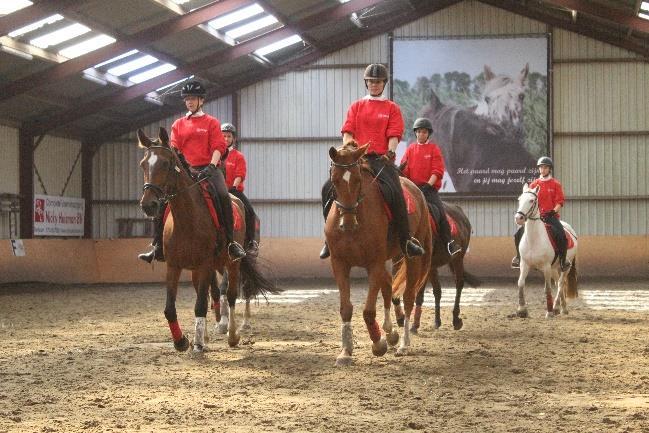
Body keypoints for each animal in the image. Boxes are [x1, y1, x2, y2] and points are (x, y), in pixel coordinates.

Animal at [137, 126, 278, 352]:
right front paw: (182, 341)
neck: (186, 220)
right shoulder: (174, 266)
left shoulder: (206, 265)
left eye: (166, 164)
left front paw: (199, 344)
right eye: (143, 164)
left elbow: (203, 304)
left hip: (233, 262)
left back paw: (233, 333)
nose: (148, 205)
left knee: (233, 294)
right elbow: (171, 308)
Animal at [324, 143, 430, 364]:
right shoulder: (339, 263)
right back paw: (390, 333)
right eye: (335, 180)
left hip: (410, 257)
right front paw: (345, 351)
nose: (347, 223)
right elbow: (346, 308)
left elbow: (368, 310)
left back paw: (403, 344)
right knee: (388, 287)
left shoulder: (374, 263)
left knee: (408, 297)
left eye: (357, 179)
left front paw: (378, 344)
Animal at [392, 202, 478, 330]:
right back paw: (437, 321)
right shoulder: (397, 261)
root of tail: (459, 211)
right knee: (438, 290)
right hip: (433, 267)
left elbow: (419, 294)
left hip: (457, 258)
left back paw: (456, 319)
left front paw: (414, 325)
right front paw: (401, 319)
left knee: (459, 283)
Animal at [512, 182, 580, 318]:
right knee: (559, 283)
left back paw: (556, 307)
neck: (534, 239)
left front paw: (549, 312)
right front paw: (522, 310)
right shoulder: (524, 264)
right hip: (554, 268)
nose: (519, 218)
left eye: (532, 200)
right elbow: (520, 283)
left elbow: (547, 288)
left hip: (565, 267)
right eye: (519, 199)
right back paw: (560, 308)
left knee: (560, 284)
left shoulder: (546, 266)